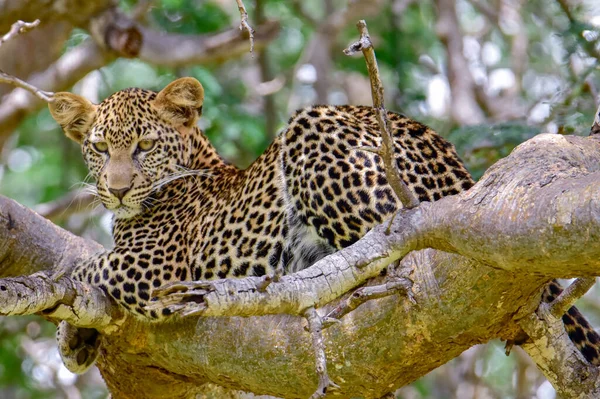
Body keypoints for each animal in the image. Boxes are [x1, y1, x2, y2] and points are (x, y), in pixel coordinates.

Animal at [48, 76, 600, 376]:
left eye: (144, 146)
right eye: (100, 148)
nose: (118, 188)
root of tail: (457, 167)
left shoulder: (157, 269)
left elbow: (82, 268)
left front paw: (67, 329)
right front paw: (79, 341)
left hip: (311, 132)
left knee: (393, 251)